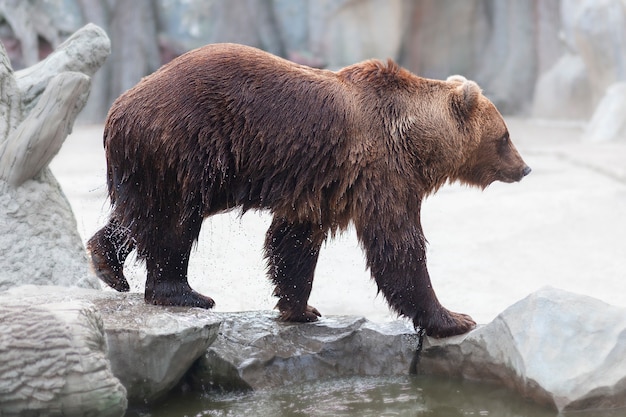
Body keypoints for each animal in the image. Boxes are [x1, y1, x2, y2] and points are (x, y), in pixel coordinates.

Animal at [86, 43, 528, 338]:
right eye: (505, 136)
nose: (524, 167)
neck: (414, 139)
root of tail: (118, 107)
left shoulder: (324, 184)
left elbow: (293, 240)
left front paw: (301, 307)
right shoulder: (382, 170)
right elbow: (397, 244)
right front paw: (452, 317)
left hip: (155, 162)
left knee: (138, 214)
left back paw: (107, 263)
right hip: (185, 144)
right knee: (174, 220)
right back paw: (184, 293)